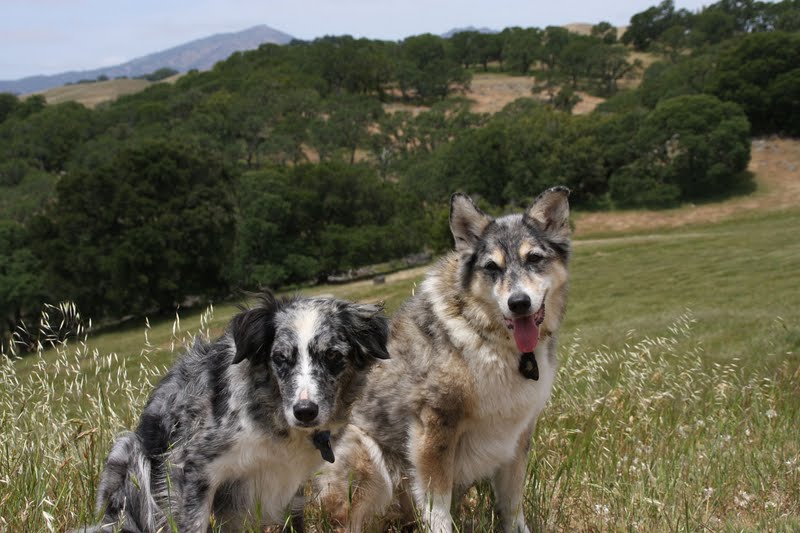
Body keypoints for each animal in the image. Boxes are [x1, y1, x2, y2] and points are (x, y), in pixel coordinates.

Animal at [89, 293, 389, 532]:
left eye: (333, 356)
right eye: (280, 358)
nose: (305, 412)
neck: (271, 413)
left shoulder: (290, 485)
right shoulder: (192, 470)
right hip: (128, 453)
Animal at [316, 187, 571, 533]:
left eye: (534, 258)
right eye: (491, 267)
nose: (518, 303)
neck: (488, 338)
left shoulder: (517, 435)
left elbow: (512, 503)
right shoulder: (434, 428)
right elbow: (438, 506)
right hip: (367, 461)